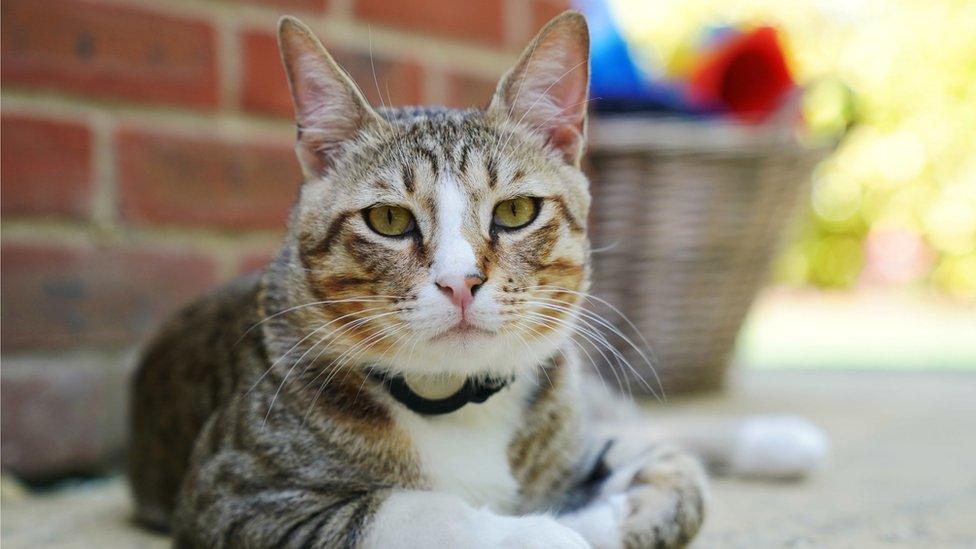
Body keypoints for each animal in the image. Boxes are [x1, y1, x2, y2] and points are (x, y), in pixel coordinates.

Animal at [126, 10, 820, 544]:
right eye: (387, 219)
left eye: (515, 212)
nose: (460, 283)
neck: (451, 401)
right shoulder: (233, 497)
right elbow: (410, 509)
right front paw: (551, 532)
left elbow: (676, 476)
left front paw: (605, 513)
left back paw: (777, 439)